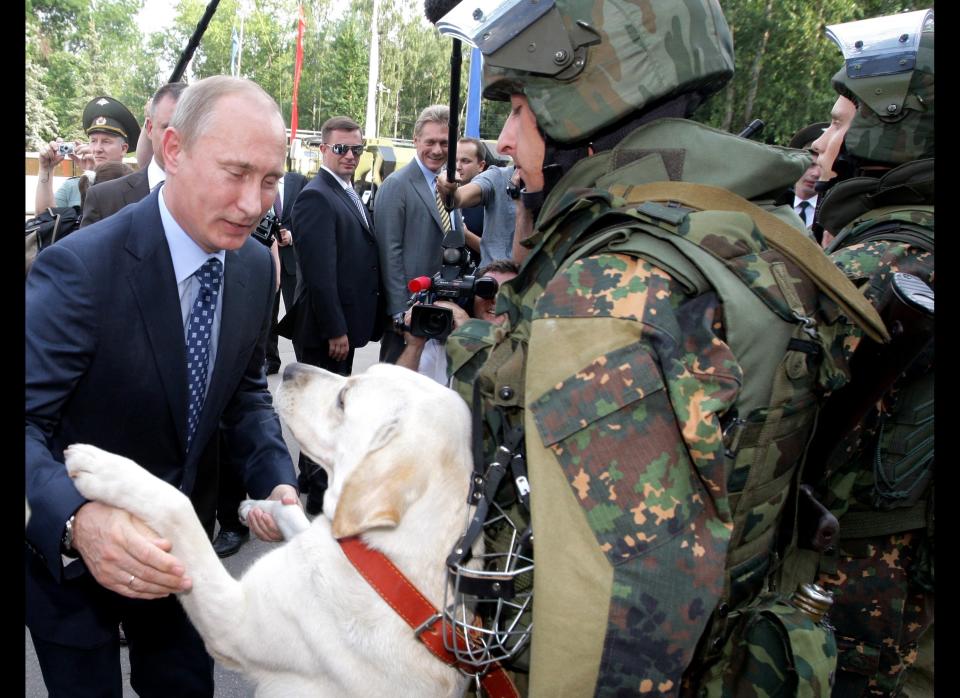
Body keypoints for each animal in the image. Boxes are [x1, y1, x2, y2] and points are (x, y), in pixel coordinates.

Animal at [63, 362, 476, 692]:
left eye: (344, 399)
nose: (290, 368)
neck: (381, 561)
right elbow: (293, 513)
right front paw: (257, 507)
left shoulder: (233, 621)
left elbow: (177, 506)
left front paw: (106, 467)